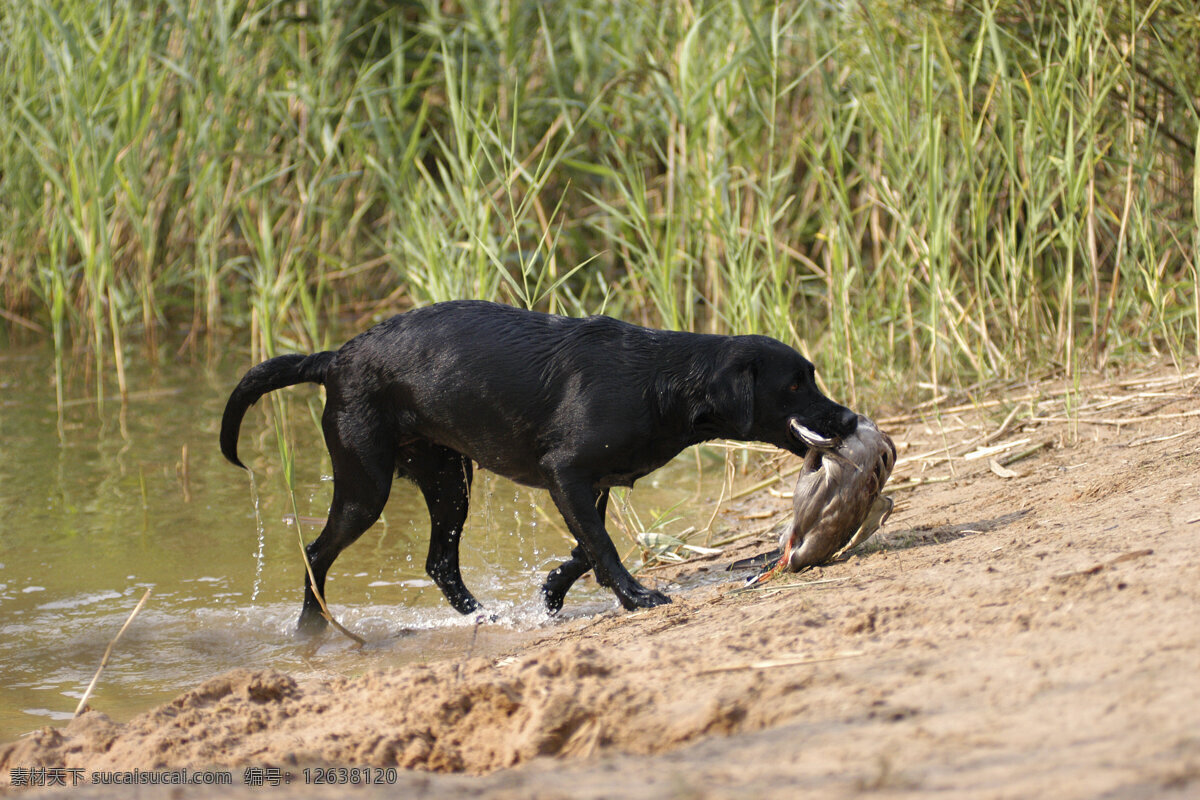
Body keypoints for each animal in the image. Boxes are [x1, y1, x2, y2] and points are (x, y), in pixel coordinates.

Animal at [220, 297, 859, 628]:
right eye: (795, 385)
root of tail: (334, 358)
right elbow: (601, 544)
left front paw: (552, 592)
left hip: (449, 479)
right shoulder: (566, 471)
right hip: (366, 484)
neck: (662, 383)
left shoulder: (592, 482)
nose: (852, 420)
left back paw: (484, 618)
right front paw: (636, 598)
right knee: (315, 553)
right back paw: (313, 628)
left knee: (439, 562)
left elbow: (584, 547)